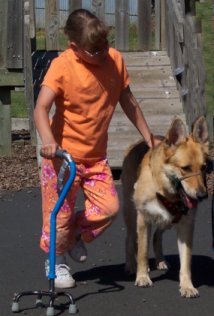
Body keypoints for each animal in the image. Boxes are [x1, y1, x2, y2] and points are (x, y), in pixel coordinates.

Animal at [121, 116, 208, 298]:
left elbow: (186, 261)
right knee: (131, 239)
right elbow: (142, 252)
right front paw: (142, 276)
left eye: (204, 167)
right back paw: (131, 265)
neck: (164, 189)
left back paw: (160, 260)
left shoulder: (186, 226)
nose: (203, 196)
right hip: (132, 216)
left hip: (168, 220)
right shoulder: (143, 219)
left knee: (156, 237)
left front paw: (187, 285)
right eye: (185, 168)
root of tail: (137, 143)